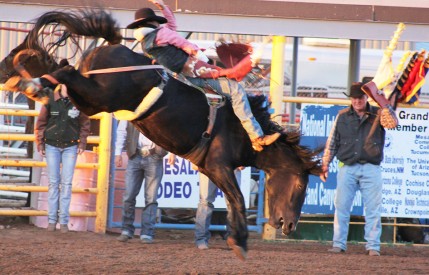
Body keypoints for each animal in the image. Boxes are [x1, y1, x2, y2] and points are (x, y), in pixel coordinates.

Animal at [3, 9, 322, 262]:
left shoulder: (212, 169)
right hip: (98, 94)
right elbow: (240, 200)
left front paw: (233, 238)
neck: (239, 130)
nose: (290, 226)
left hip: (94, 102)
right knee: (66, 72)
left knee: (65, 75)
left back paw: (28, 79)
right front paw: (241, 243)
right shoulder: (220, 166)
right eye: (300, 185)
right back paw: (29, 80)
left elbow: (231, 202)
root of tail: (111, 47)